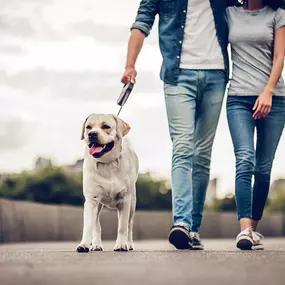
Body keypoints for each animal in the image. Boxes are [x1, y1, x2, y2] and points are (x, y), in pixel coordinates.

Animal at [75, 113, 138, 251]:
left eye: (106, 126)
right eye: (88, 127)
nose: (92, 134)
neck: (107, 163)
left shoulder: (124, 200)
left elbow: (122, 227)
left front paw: (121, 244)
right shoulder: (91, 200)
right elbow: (89, 226)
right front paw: (84, 244)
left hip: (132, 204)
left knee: (129, 225)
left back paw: (129, 243)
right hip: (98, 205)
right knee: (97, 226)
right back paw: (96, 244)